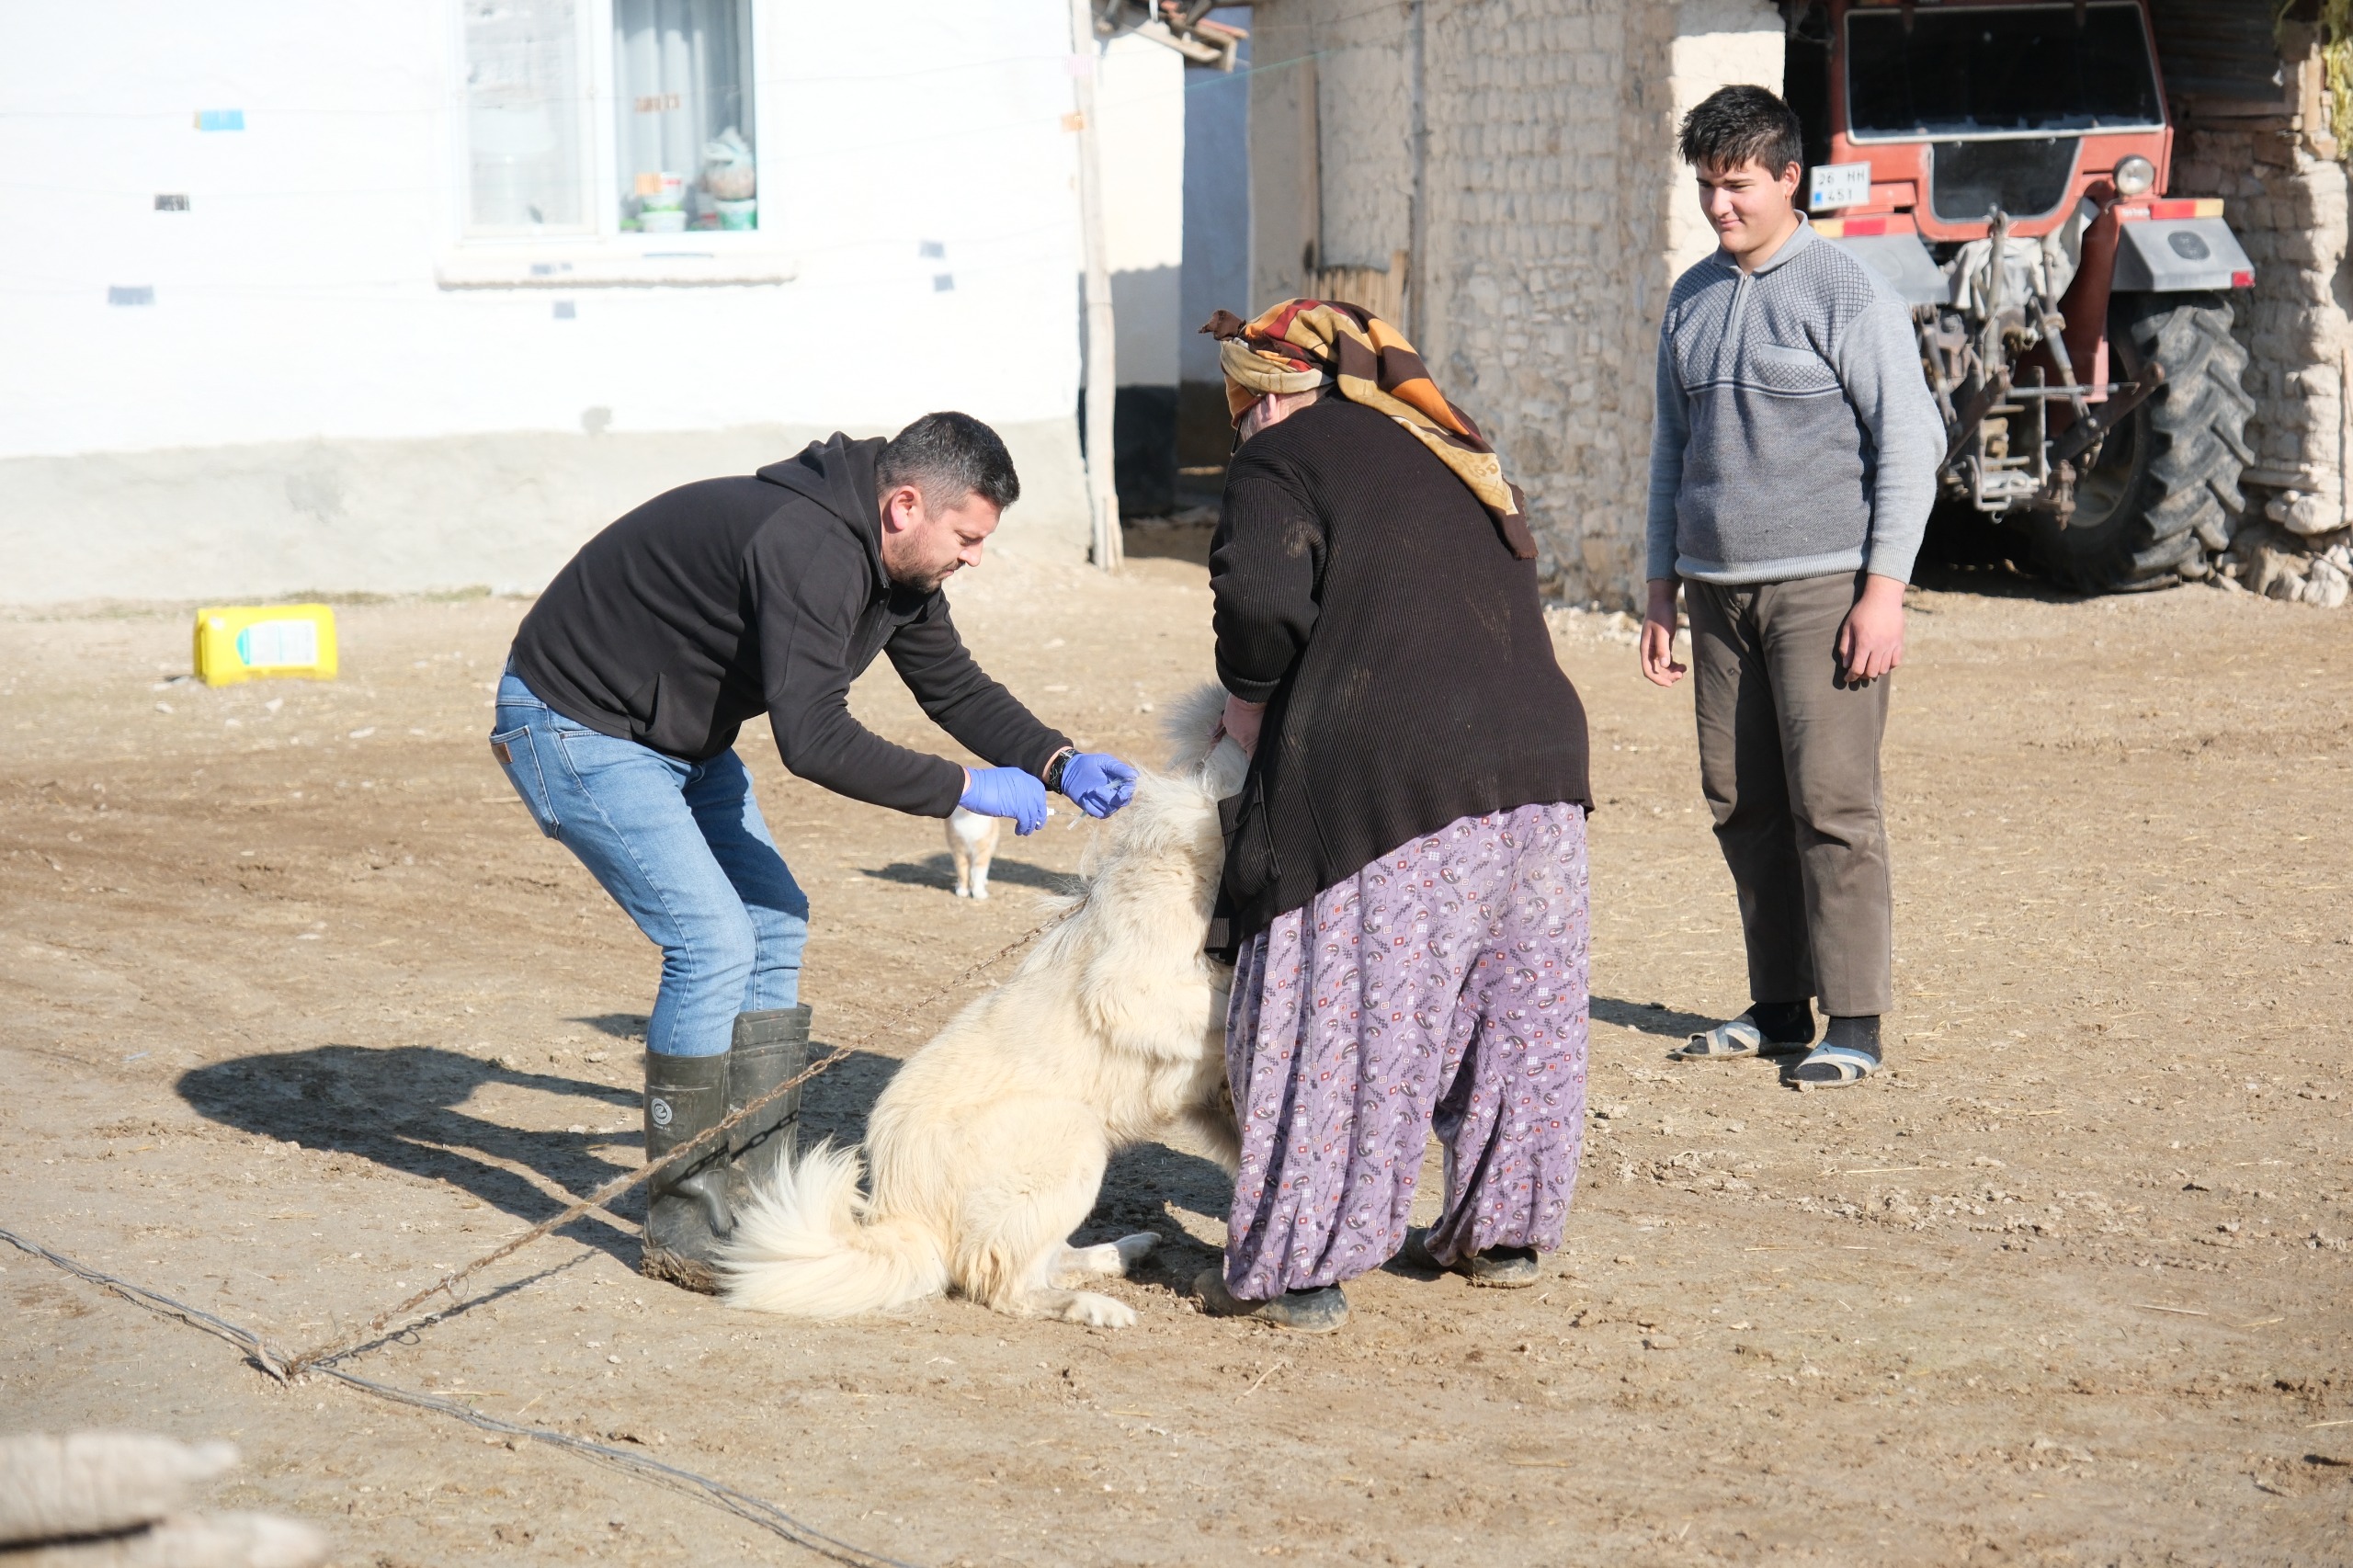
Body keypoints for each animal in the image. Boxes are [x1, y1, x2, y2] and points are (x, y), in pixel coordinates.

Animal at [720, 682, 1251, 1318]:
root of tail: (903, 1209)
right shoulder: (1130, 990)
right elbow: (1220, 999)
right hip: (1071, 1136)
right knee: (1004, 1283)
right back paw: (1093, 1305)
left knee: (1040, 1256)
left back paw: (1124, 1251)